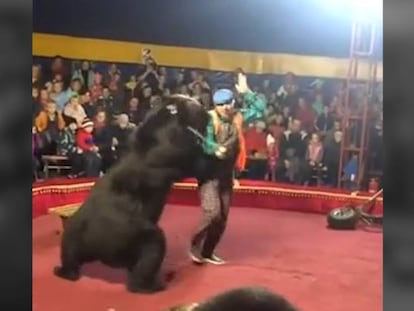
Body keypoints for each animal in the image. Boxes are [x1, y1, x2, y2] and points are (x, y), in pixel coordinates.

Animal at [54, 96, 210, 294]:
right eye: (191, 105)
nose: (201, 104)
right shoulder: (180, 155)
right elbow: (195, 158)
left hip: (72, 236)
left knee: (71, 260)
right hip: (148, 236)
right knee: (141, 274)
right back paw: (157, 285)